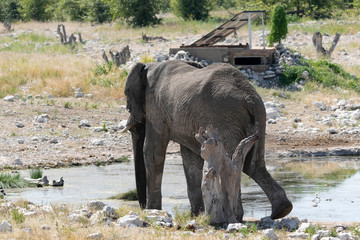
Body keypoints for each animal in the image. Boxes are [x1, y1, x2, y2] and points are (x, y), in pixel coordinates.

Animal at [124, 59, 292, 220]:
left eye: (126, 94)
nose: (142, 207)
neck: (148, 66)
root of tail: (249, 97)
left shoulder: (155, 108)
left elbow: (153, 153)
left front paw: (153, 211)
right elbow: (191, 159)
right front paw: (196, 215)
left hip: (224, 119)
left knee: (236, 163)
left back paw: (236, 215)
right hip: (258, 118)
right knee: (254, 165)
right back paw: (281, 210)